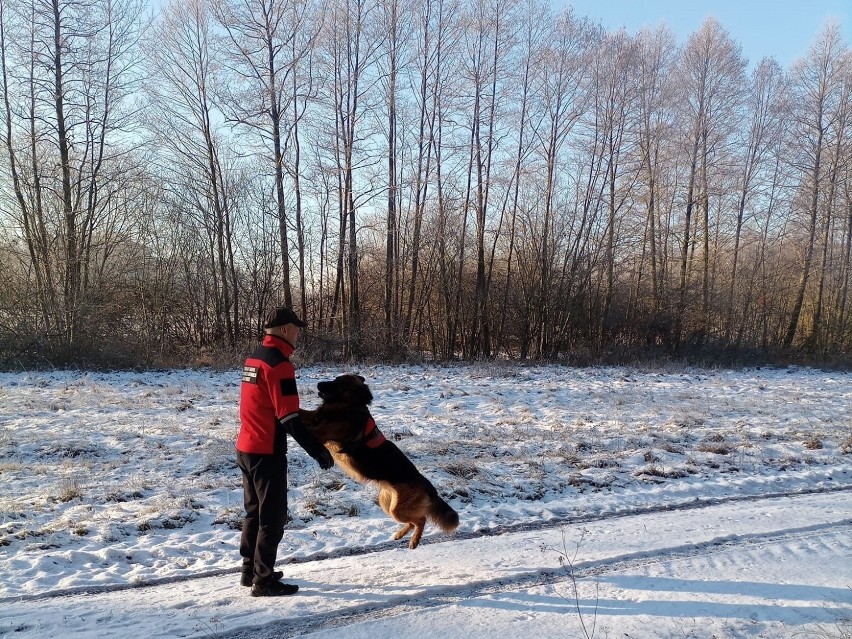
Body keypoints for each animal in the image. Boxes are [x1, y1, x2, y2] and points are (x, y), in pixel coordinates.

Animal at [300, 376, 460, 552]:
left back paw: (414, 540)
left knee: (421, 519)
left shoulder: (320, 432)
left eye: (338, 383)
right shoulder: (313, 418)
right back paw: (400, 534)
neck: (351, 407)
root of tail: (427, 485)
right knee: (413, 521)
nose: (318, 384)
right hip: (387, 504)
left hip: (397, 509)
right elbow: (301, 412)